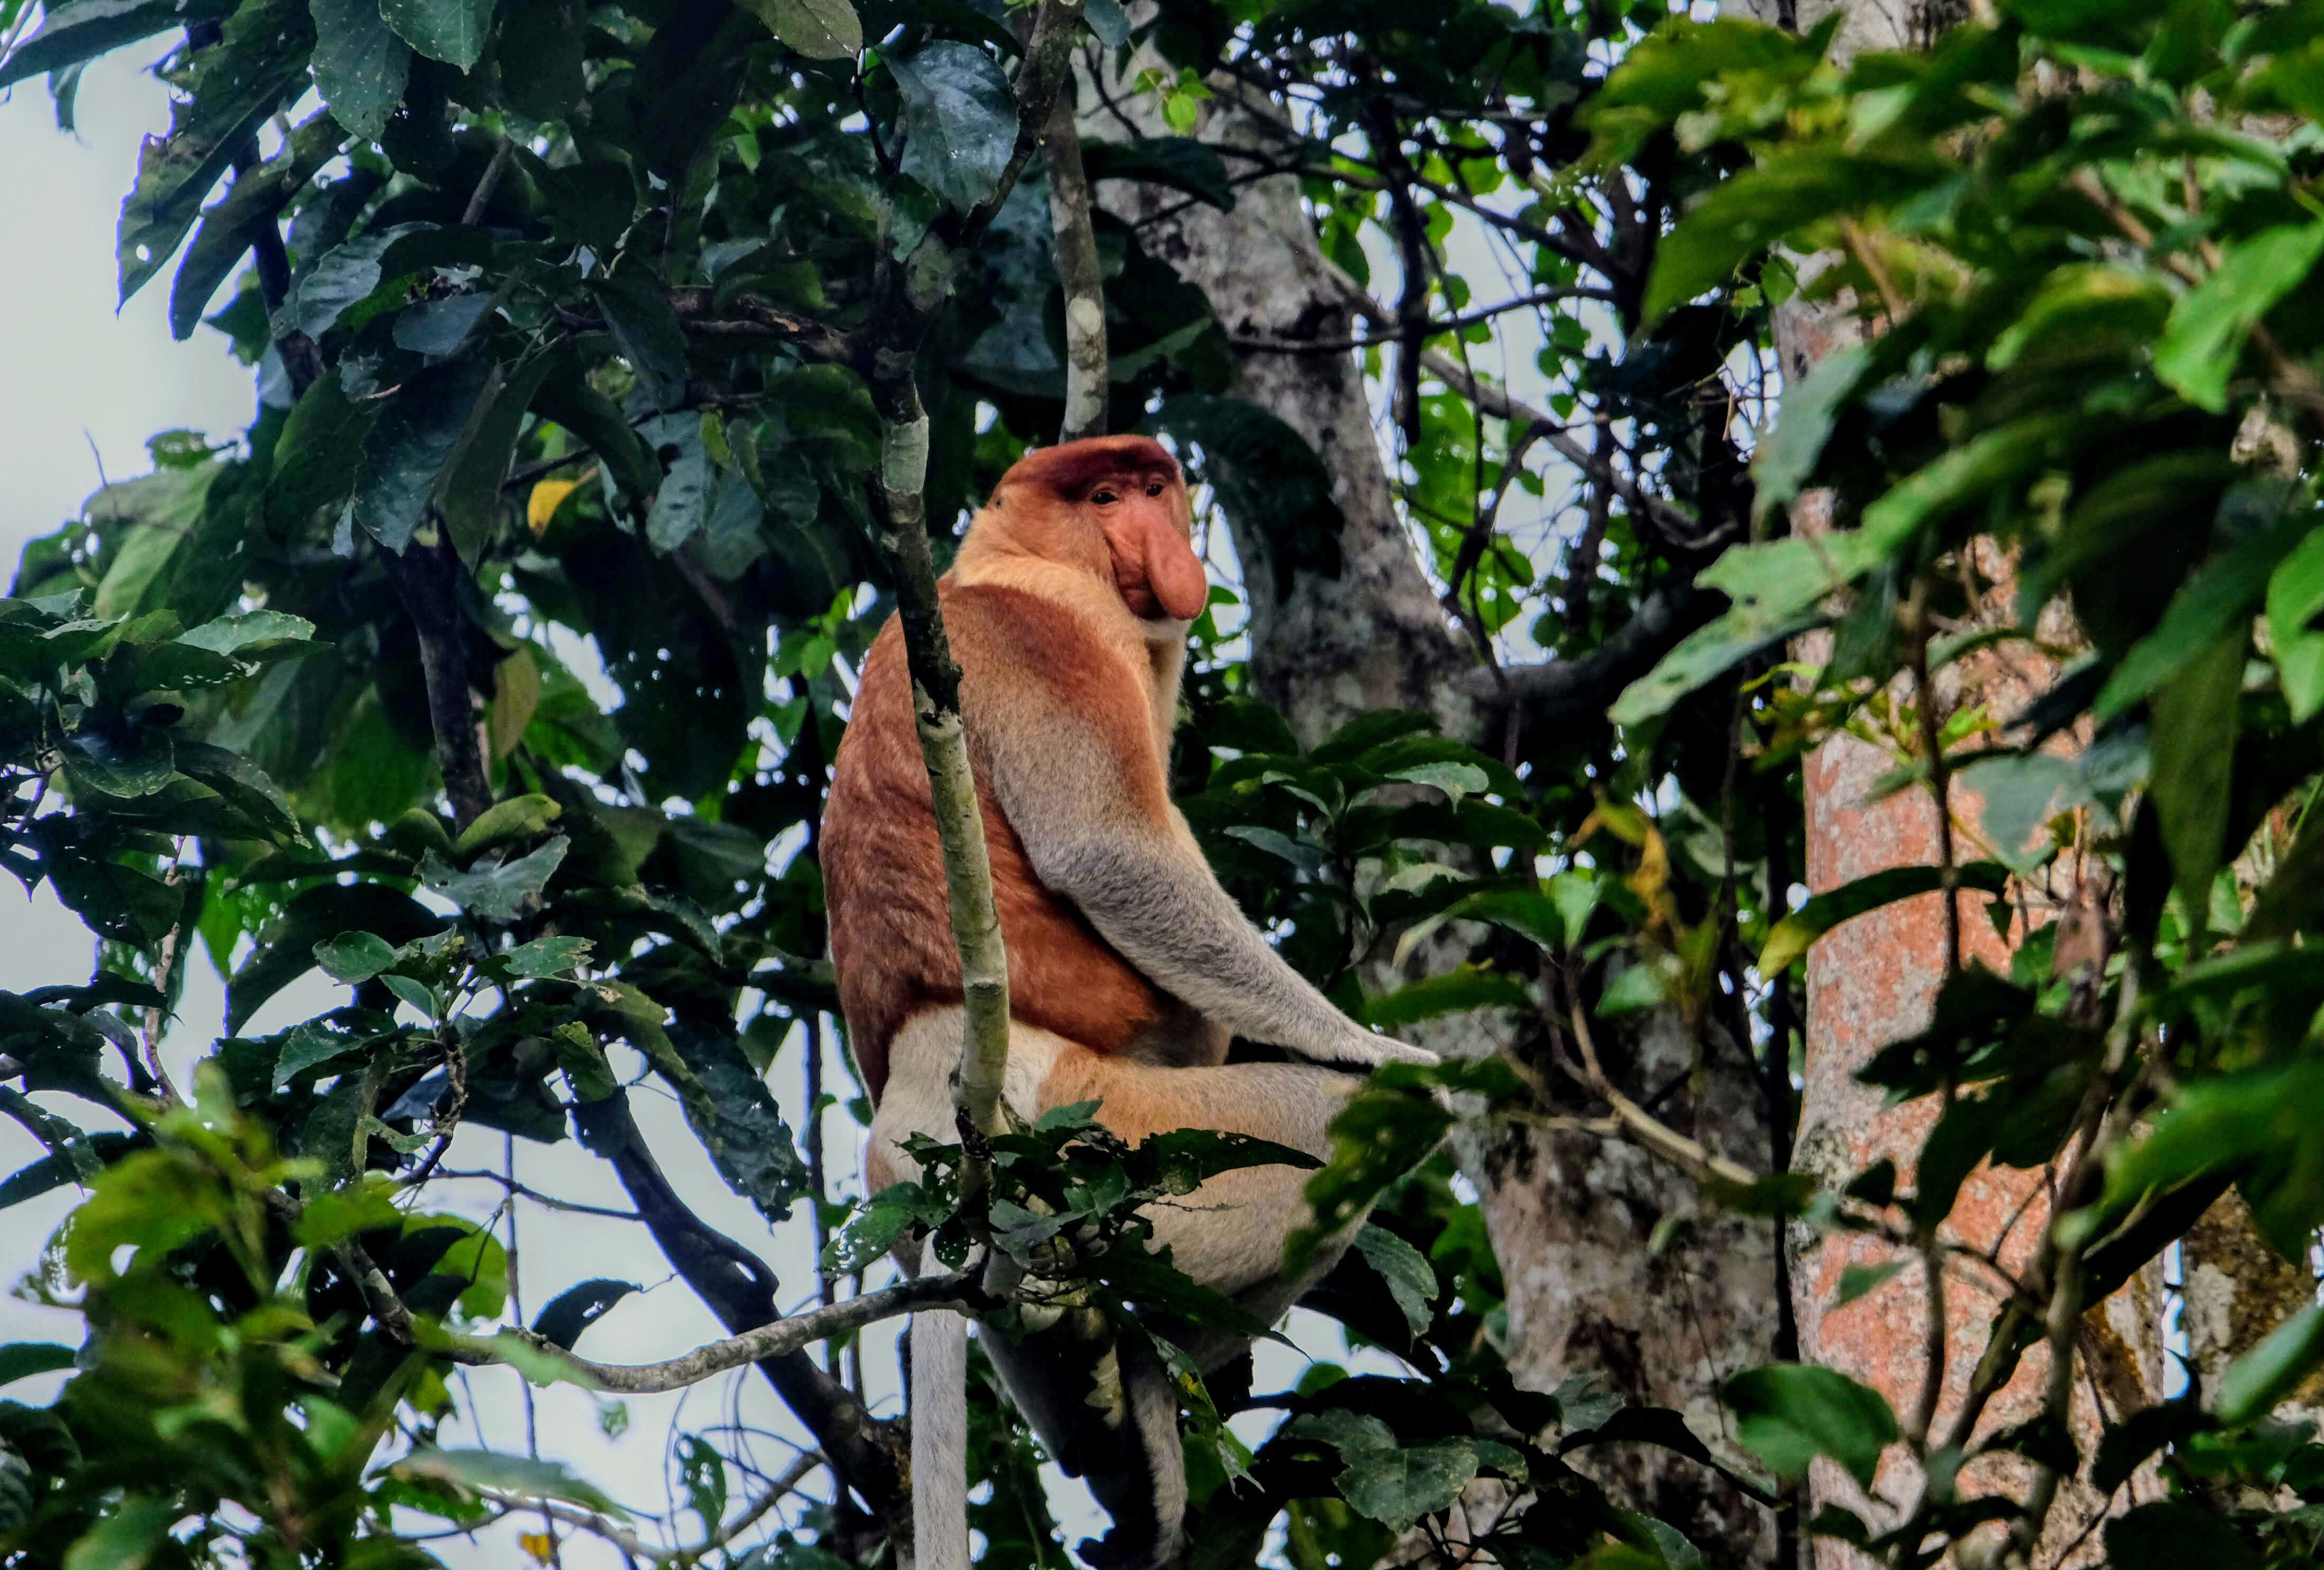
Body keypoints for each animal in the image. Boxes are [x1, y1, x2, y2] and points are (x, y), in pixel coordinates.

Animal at [827, 433, 1422, 1570]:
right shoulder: (1037, 637)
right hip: (1102, 1134)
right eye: (1102, 497)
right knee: (1334, 1134)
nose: (1156, 543)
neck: (1002, 561)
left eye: (1153, 488)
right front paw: (1386, 1054)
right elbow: (1109, 850)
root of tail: (923, 1091)